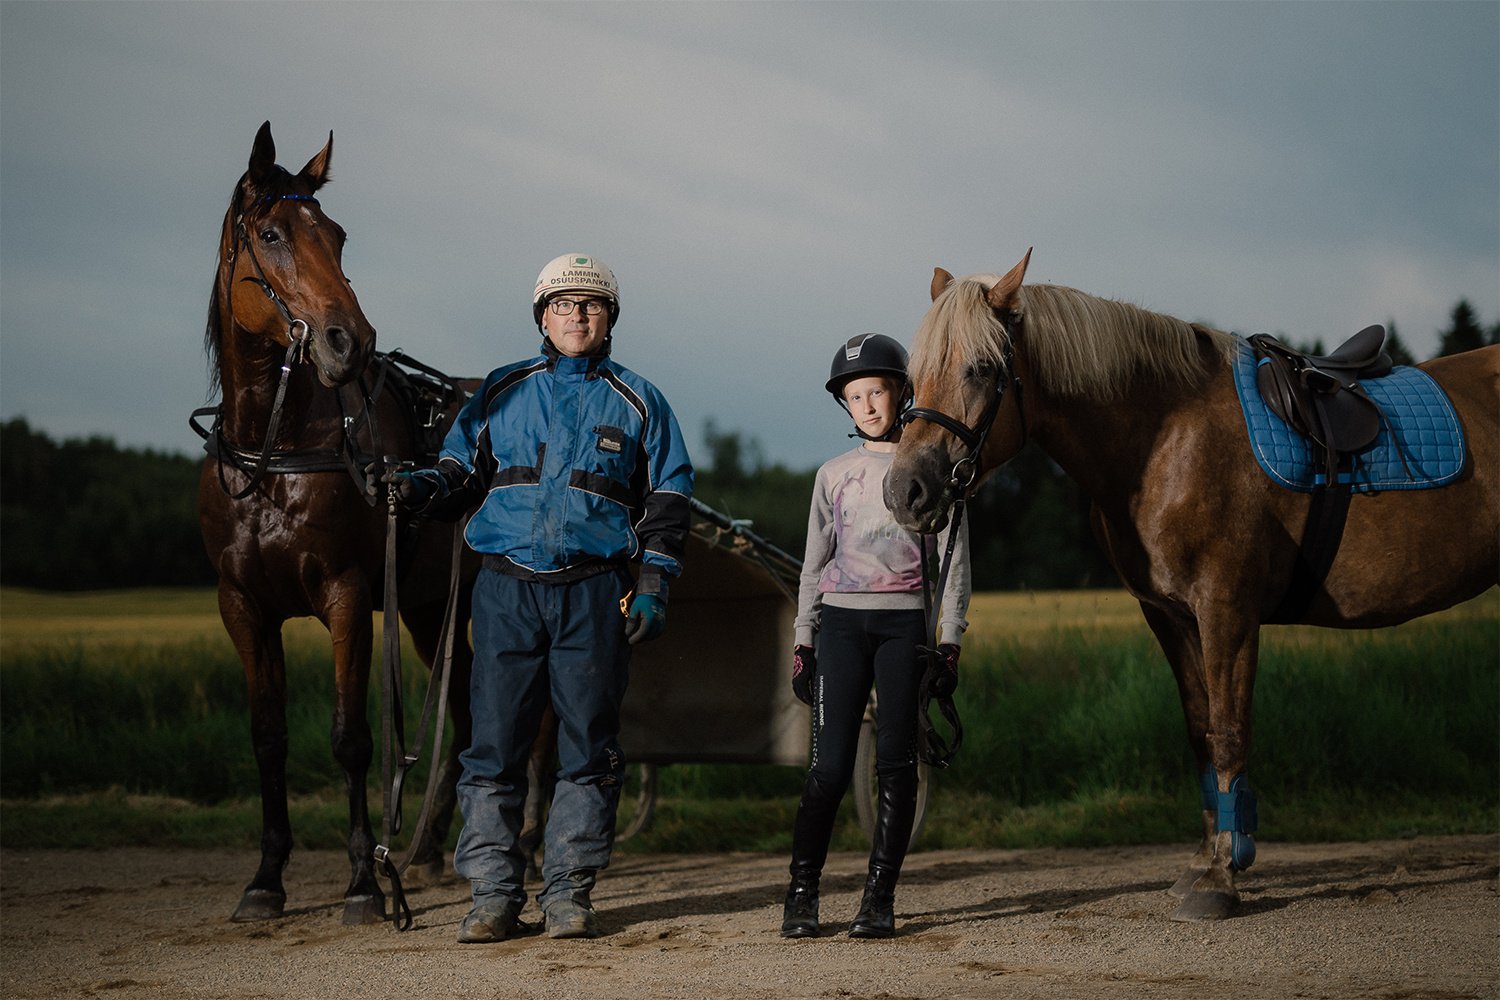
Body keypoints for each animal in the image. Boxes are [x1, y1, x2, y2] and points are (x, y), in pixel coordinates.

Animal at [196, 121, 471, 929]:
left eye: (338, 236)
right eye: (271, 234)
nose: (352, 340)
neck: (271, 454)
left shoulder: (346, 594)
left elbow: (351, 738)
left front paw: (362, 883)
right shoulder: (242, 606)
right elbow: (268, 739)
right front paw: (266, 880)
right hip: (427, 608)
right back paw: (436, 848)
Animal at [882, 250, 1494, 923]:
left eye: (983, 369)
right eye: (915, 375)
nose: (905, 492)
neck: (1165, 441)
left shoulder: (1227, 609)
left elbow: (1228, 733)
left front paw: (1223, 877)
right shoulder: (1170, 616)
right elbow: (1200, 733)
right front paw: (1207, 861)